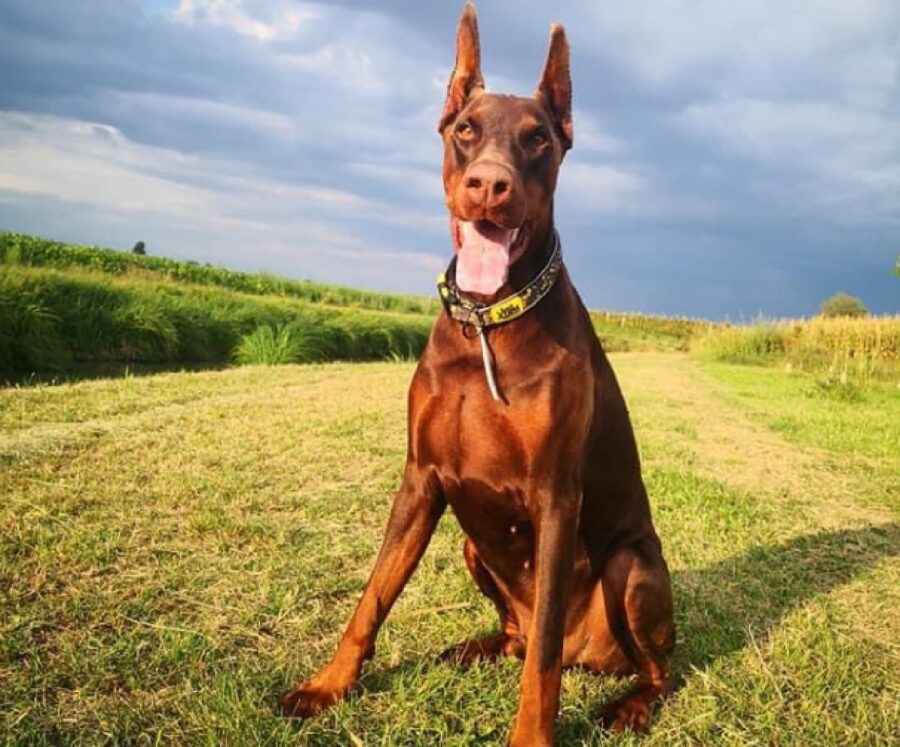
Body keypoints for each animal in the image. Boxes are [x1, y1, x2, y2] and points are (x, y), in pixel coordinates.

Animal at [284, 4, 676, 744]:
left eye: (538, 139)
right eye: (466, 129)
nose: (489, 184)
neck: (488, 323)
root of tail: (591, 656)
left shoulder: (556, 497)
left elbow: (543, 662)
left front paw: (531, 737)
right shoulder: (421, 478)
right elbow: (372, 596)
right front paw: (328, 684)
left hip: (632, 568)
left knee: (635, 661)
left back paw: (631, 703)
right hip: (473, 545)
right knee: (521, 635)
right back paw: (477, 646)